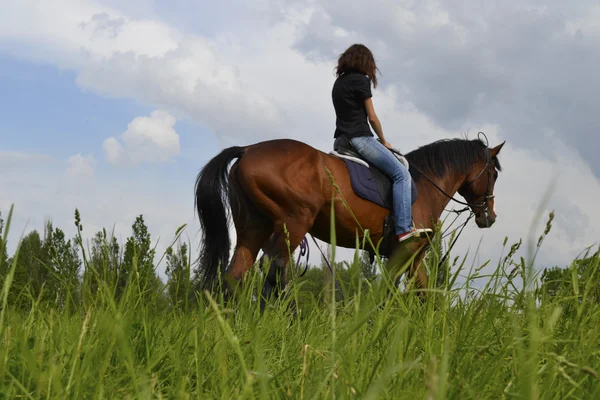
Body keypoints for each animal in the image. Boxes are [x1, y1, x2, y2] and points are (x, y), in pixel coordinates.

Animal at [195, 134, 504, 300]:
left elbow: (423, 292)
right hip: (293, 223)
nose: (490, 216)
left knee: (235, 274)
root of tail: (247, 150)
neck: (424, 184)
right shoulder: (407, 250)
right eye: (494, 173)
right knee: (275, 267)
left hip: (253, 228)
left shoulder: (413, 257)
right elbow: (390, 291)